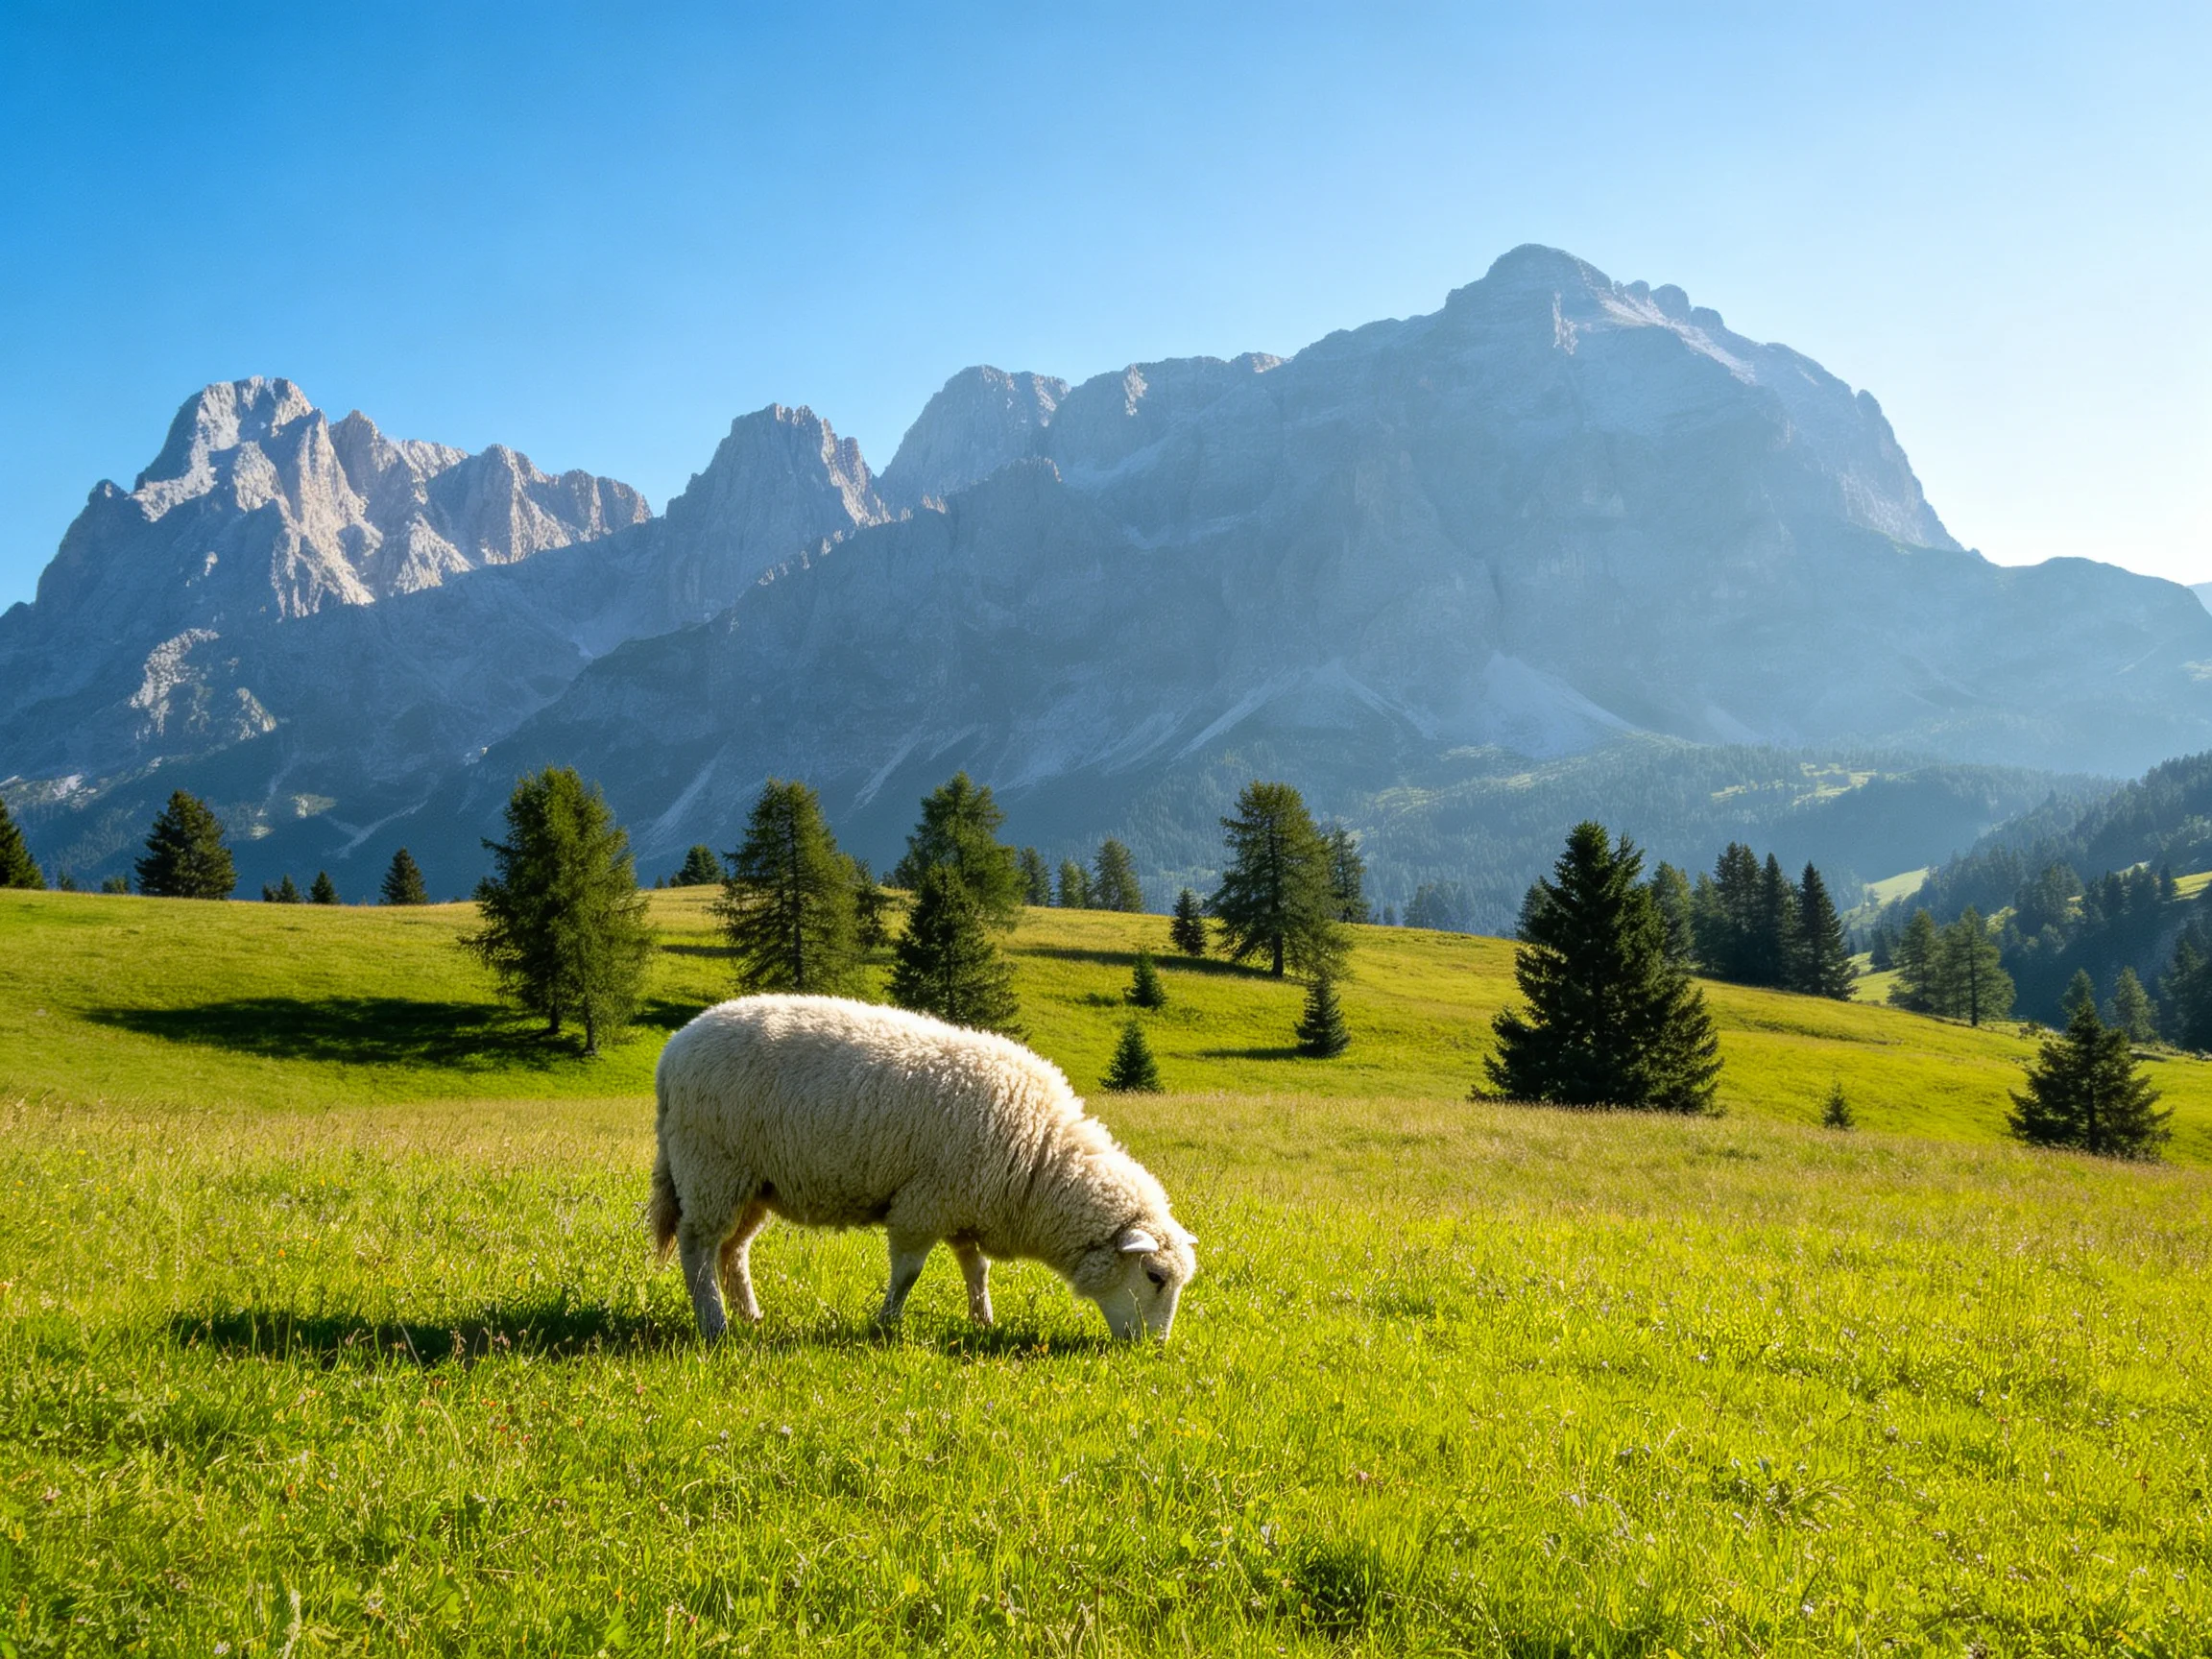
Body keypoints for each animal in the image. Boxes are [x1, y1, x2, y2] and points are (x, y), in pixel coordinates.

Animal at [649, 994, 1198, 1342]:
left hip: (753, 1183)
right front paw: (886, 1324)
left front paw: (982, 1320)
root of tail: (673, 1051)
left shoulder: (963, 1205)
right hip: (711, 1166)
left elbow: (976, 1269)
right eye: (1154, 1276)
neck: (1039, 1159)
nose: (1154, 1348)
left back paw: (750, 1316)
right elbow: (909, 1274)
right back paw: (714, 1324)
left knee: (732, 1250)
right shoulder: (923, 1204)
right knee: (698, 1247)